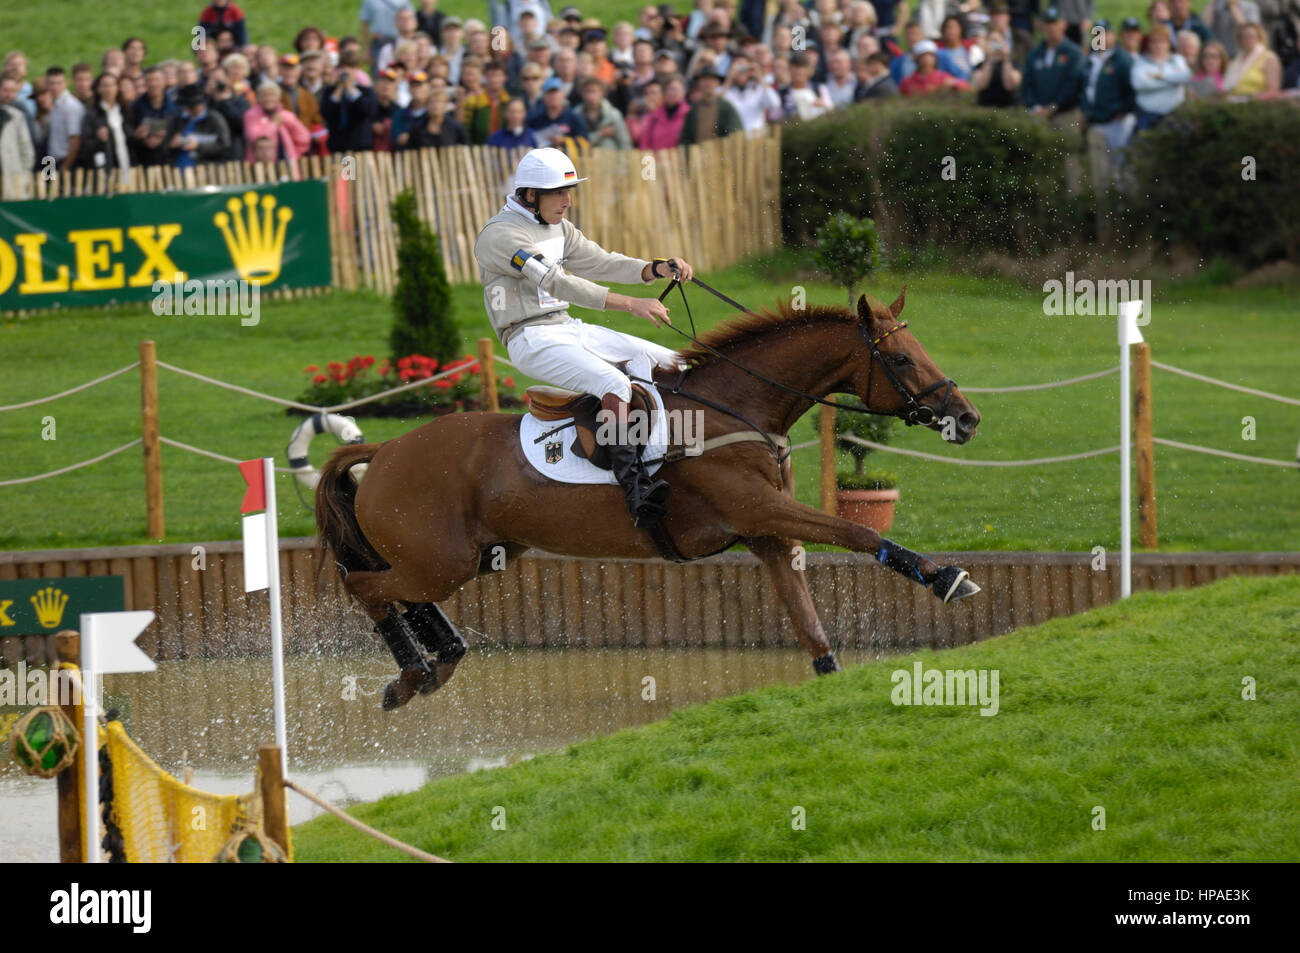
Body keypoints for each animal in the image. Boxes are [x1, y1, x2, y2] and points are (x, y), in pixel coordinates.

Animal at [317, 288, 982, 707]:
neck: (736, 408)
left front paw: (829, 677)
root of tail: (386, 449)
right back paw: (411, 675)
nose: (967, 417)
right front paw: (946, 577)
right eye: (900, 359)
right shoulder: (760, 510)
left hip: (475, 556)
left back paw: (443, 657)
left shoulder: (768, 535)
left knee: (401, 593)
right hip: (440, 561)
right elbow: (859, 532)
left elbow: (811, 626)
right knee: (365, 586)